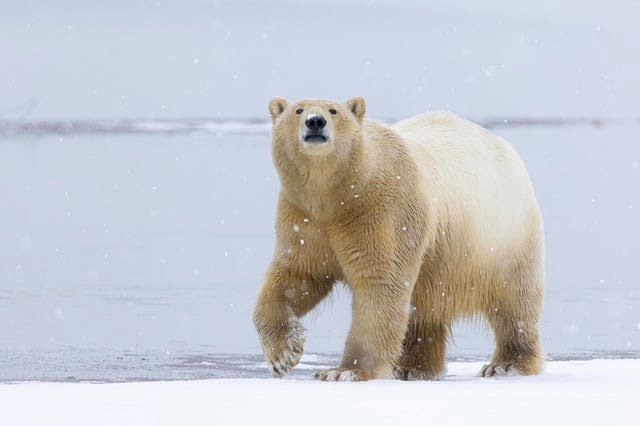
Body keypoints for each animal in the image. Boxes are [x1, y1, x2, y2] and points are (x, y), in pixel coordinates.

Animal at [253, 97, 544, 381]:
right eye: (298, 109)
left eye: (333, 110)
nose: (315, 121)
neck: (339, 195)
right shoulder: (303, 217)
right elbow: (298, 276)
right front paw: (283, 355)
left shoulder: (384, 209)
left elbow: (380, 284)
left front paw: (345, 371)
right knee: (425, 306)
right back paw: (412, 368)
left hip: (503, 237)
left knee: (513, 302)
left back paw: (506, 365)